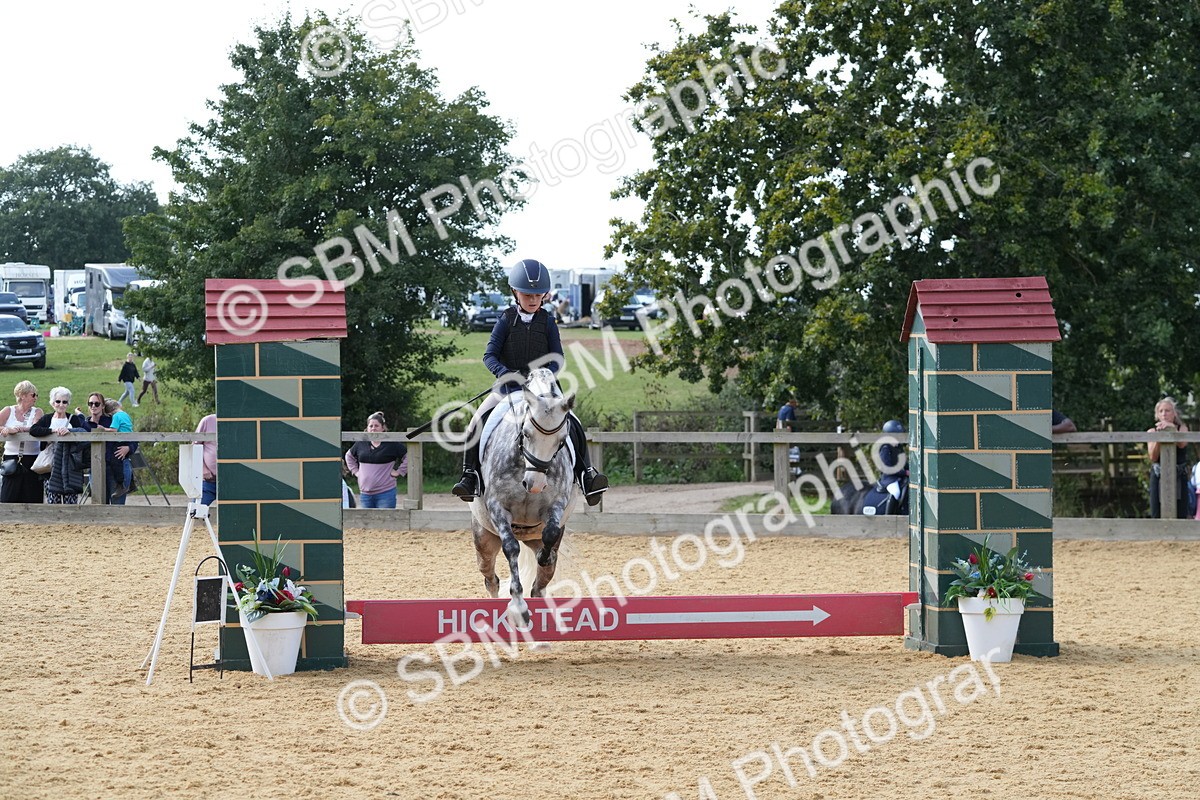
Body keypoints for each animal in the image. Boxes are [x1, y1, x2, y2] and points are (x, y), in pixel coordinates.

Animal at [470, 367, 578, 629]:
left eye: (562, 440)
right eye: (525, 433)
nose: (535, 484)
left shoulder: (556, 505)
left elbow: (549, 535)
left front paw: (545, 556)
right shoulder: (498, 508)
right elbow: (511, 549)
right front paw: (518, 608)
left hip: (537, 542)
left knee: (539, 586)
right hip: (484, 540)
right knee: (491, 578)